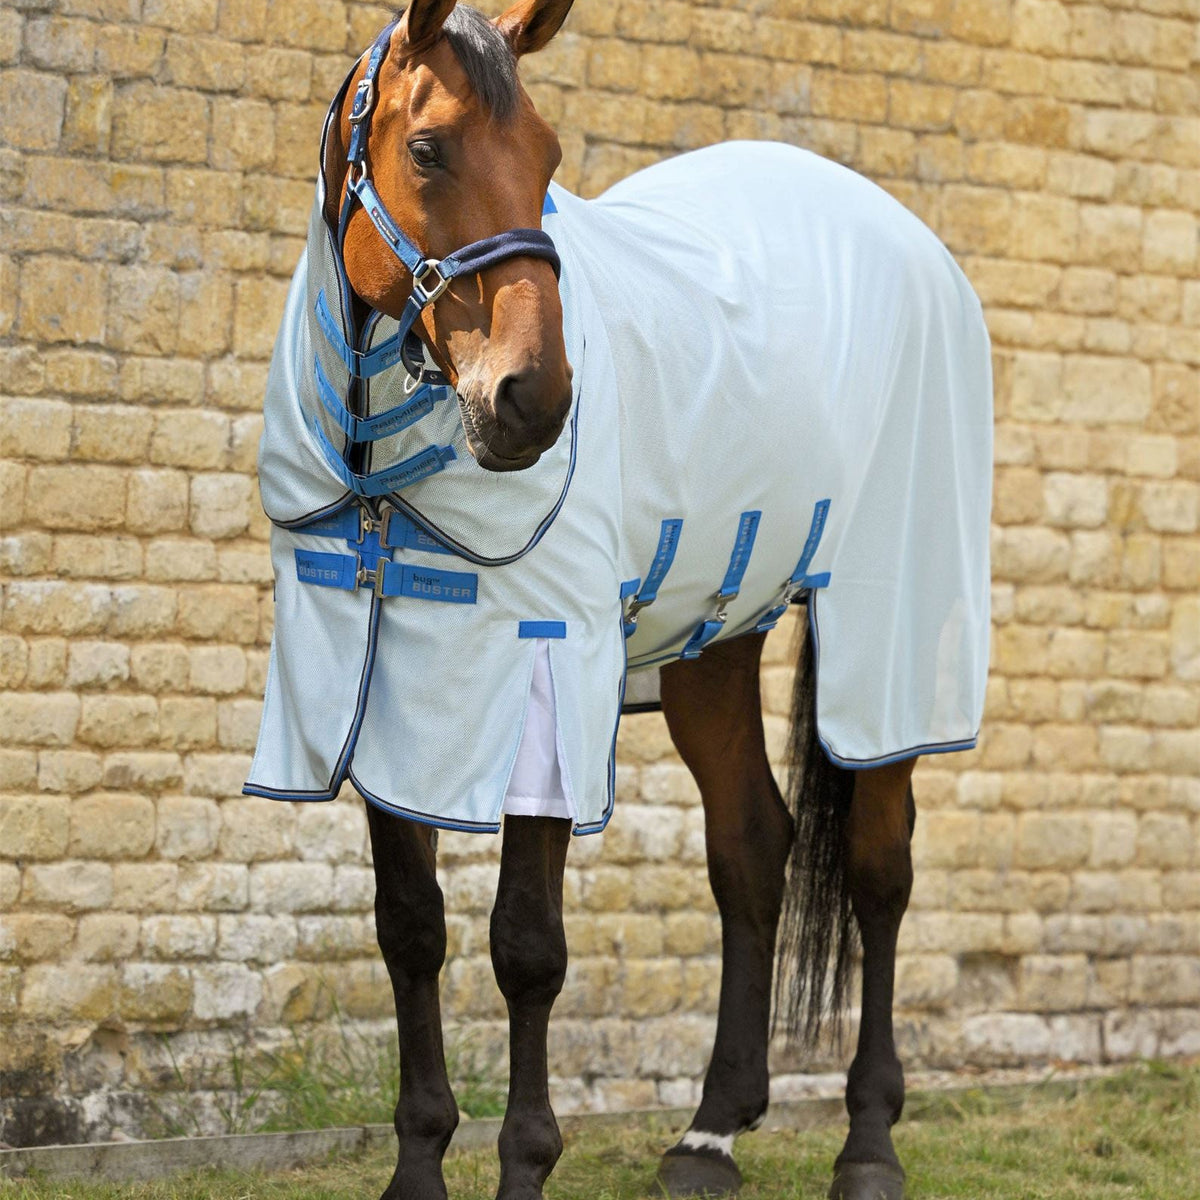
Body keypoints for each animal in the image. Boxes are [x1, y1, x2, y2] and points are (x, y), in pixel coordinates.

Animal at [245, 2, 994, 1197]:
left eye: (549, 158)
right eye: (428, 149)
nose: (534, 400)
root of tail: (909, 240)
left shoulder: (545, 672)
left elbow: (526, 948)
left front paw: (525, 1163)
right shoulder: (373, 673)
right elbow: (410, 929)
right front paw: (419, 1166)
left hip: (893, 629)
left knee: (881, 870)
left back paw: (868, 1143)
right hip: (712, 642)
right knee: (752, 846)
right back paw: (710, 1133)